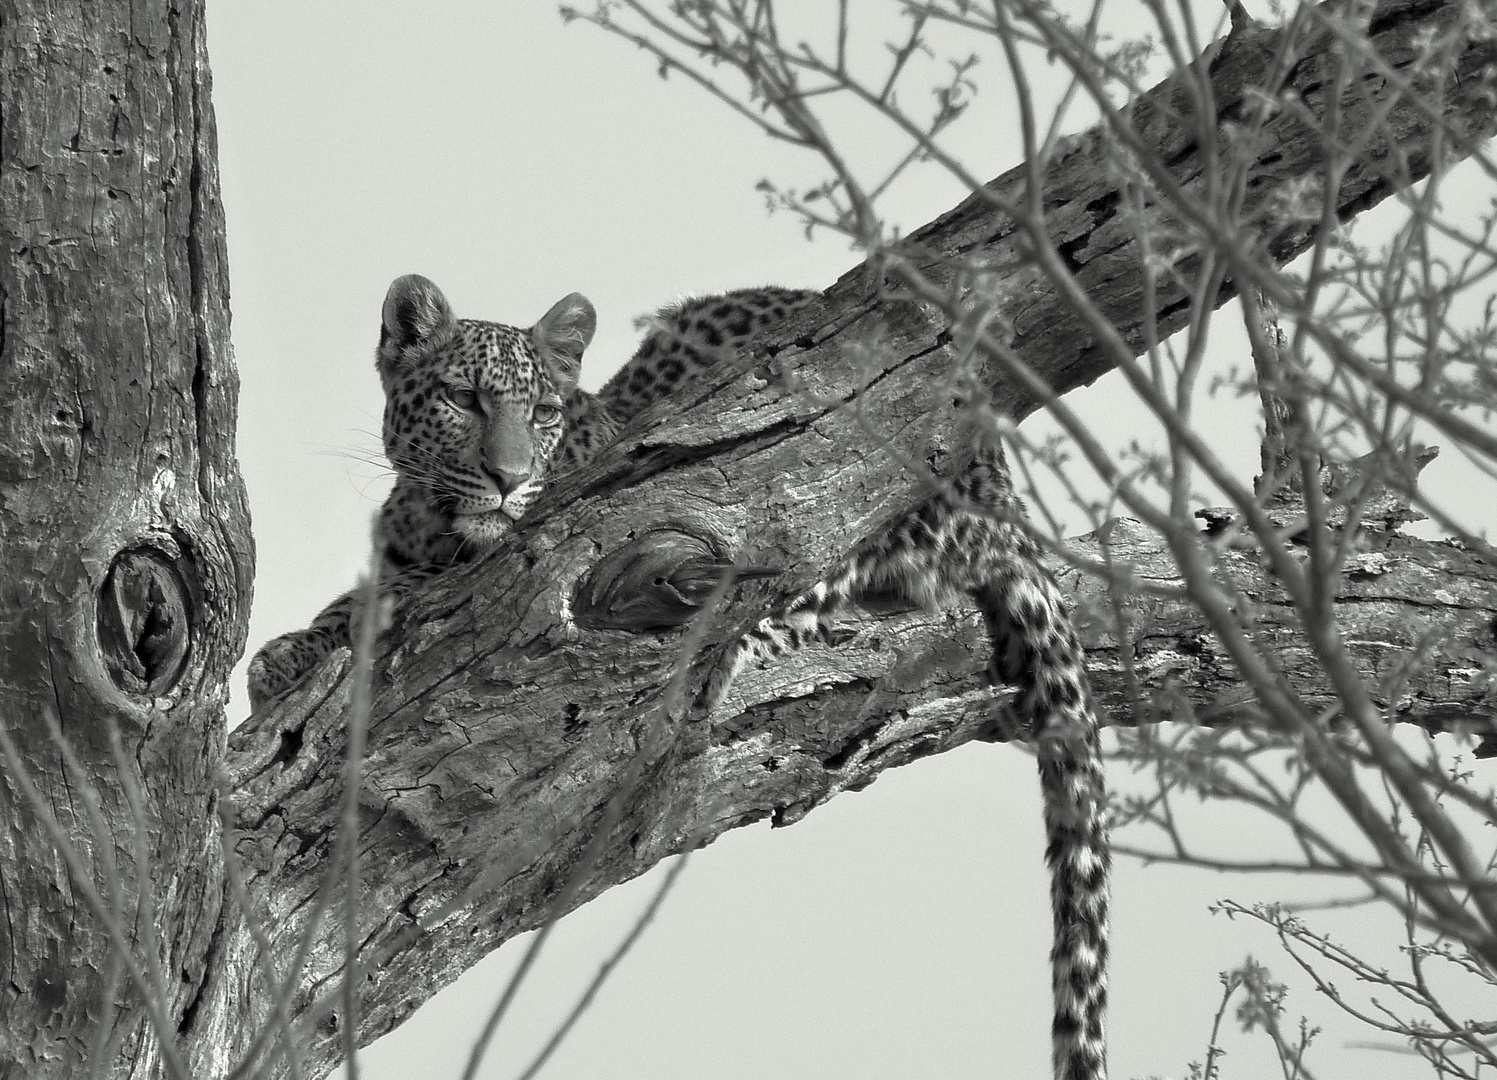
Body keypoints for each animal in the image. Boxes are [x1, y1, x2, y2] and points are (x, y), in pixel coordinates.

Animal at [248, 271, 1113, 1078]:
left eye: (541, 414)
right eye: (462, 400)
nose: (506, 478)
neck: (437, 529)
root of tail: (999, 486)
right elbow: (350, 609)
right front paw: (286, 657)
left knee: (806, 596)